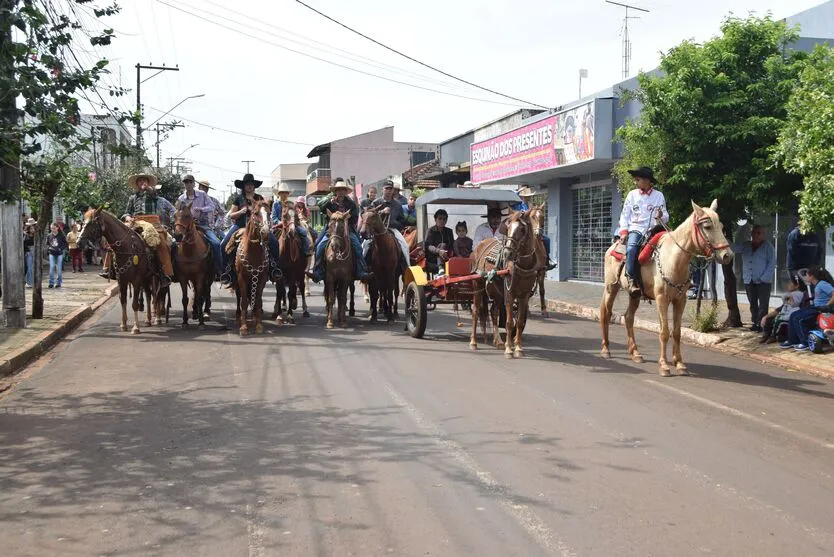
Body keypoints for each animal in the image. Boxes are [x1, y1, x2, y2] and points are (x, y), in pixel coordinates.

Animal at [232, 202, 268, 336]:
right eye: (256, 213)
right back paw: (239, 317)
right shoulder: (241, 278)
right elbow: (243, 301)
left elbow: (257, 300)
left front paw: (258, 325)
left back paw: (253, 318)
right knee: (240, 297)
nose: (266, 232)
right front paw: (243, 327)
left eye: (269, 213)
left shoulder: (262, 279)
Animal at [468, 208, 544, 356]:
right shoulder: (509, 293)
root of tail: (481, 245)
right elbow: (509, 322)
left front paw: (518, 348)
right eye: (507, 228)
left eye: (522, 229)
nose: (507, 253)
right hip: (478, 285)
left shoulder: (524, 295)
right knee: (475, 311)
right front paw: (509, 349)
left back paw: (498, 341)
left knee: (494, 312)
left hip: (497, 292)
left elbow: (519, 322)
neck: (523, 266)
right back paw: (473, 342)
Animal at [600, 198, 728, 376]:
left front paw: (679, 363)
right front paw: (664, 365)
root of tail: (613, 246)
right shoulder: (662, 299)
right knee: (606, 313)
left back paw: (635, 353)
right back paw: (606, 350)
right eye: (708, 227)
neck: (674, 259)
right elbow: (664, 332)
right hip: (611, 287)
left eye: (721, 227)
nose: (727, 255)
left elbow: (676, 332)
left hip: (635, 294)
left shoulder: (680, 300)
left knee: (629, 317)